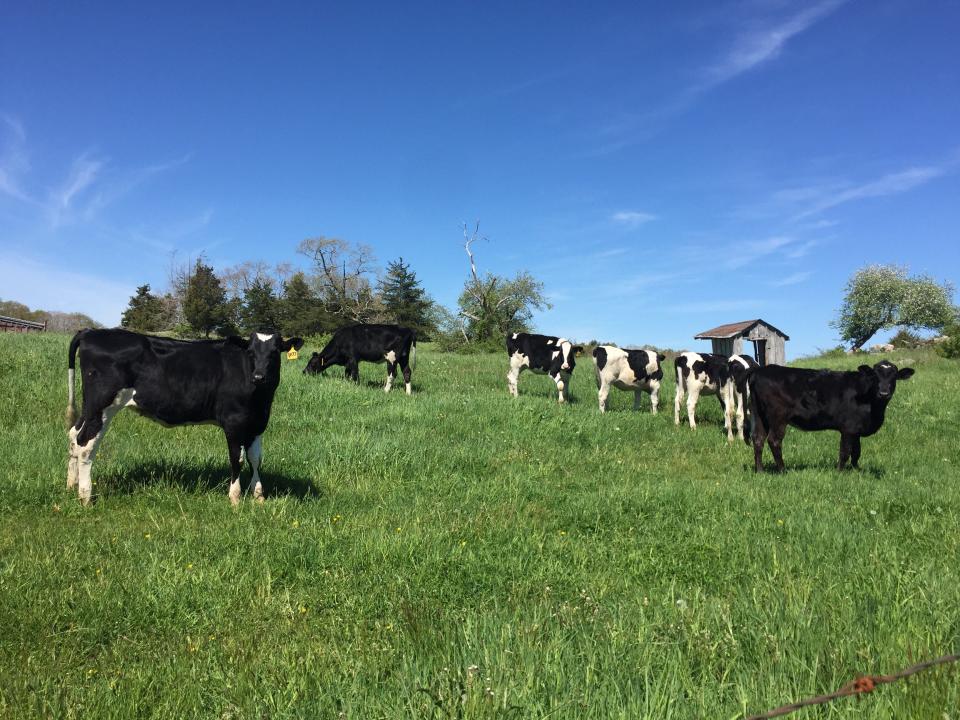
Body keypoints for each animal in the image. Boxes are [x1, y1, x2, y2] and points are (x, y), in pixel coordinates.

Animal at [66, 328, 304, 504]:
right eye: (251, 352)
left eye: (274, 352)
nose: (259, 376)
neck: (260, 399)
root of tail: (91, 332)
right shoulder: (234, 422)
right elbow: (237, 459)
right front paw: (235, 498)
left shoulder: (257, 423)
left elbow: (255, 458)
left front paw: (259, 496)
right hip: (102, 405)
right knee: (86, 444)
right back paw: (85, 497)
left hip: (89, 407)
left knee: (74, 436)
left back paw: (70, 485)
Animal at [752, 360, 916, 472]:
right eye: (875, 376)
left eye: (894, 376)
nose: (884, 393)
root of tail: (761, 370)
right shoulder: (848, 428)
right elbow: (845, 451)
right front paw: (840, 472)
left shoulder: (856, 429)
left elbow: (857, 452)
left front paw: (857, 470)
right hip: (778, 417)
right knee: (774, 441)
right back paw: (783, 470)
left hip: (759, 416)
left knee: (758, 439)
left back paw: (760, 470)